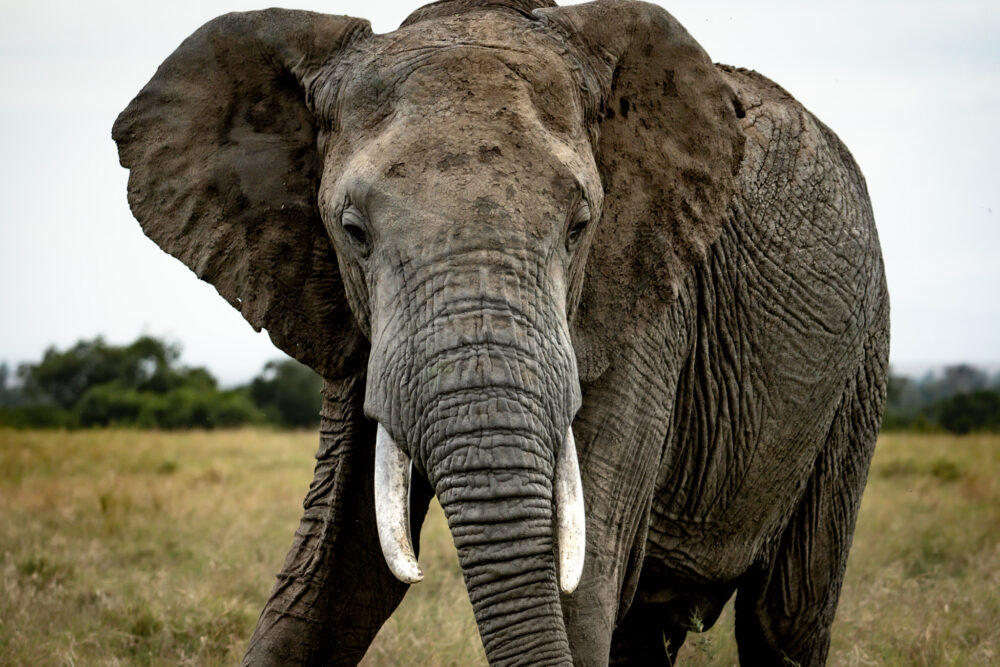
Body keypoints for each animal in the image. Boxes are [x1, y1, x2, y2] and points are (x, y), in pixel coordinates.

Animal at [113, 2, 888, 664]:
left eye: (580, 228)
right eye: (352, 231)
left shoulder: (646, 306)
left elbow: (580, 591)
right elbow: (332, 580)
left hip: (859, 368)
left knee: (786, 618)